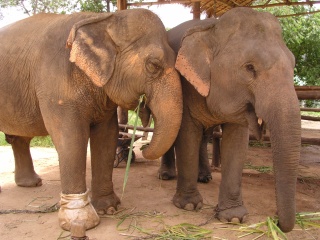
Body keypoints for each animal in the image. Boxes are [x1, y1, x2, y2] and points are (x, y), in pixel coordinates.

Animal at [0, 8, 182, 231]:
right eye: (153, 65)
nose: (144, 147)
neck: (102, 19)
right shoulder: (54, 82)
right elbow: (71, 137)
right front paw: (79, 221)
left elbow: (107, 136)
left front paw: (109, 208)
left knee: (20, 138)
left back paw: (31, 184)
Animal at [159, 7, 302, 232]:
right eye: (250, 68)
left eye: (293, 65)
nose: (276, 220)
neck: (214, 28)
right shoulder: (184, 84)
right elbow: (186, 134)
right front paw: (189, 206)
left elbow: (237, 143)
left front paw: (233, 218)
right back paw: (166, 176)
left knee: (204, 136)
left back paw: (205, 177)